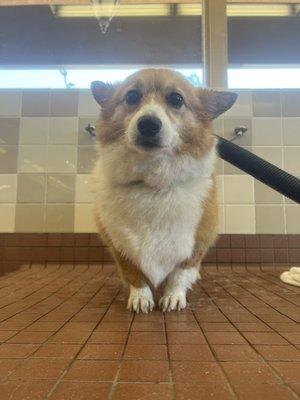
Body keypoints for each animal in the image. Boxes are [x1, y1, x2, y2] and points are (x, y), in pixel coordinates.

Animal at [91, 69, 237, 312]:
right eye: (131, 96)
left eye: (176, 99)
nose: (148, 124)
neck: (152, 184)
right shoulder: (119, 245)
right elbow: (135, 275)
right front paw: (141, 298)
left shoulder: (197, 242)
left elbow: (180, 274)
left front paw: (173, 297)